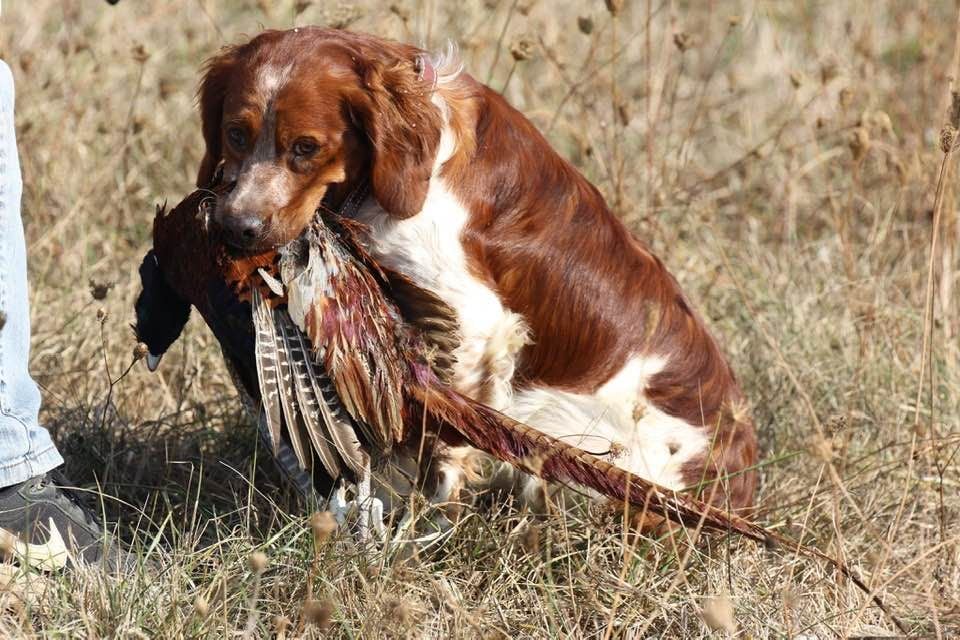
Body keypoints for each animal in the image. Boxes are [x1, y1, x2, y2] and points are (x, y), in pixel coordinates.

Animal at [199, 28, 760, 520]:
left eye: (306, 147)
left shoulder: (474, 318)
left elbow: (437, 438)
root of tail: (739, 488)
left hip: (562, 427)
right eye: (235, 134)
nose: (236, 228)